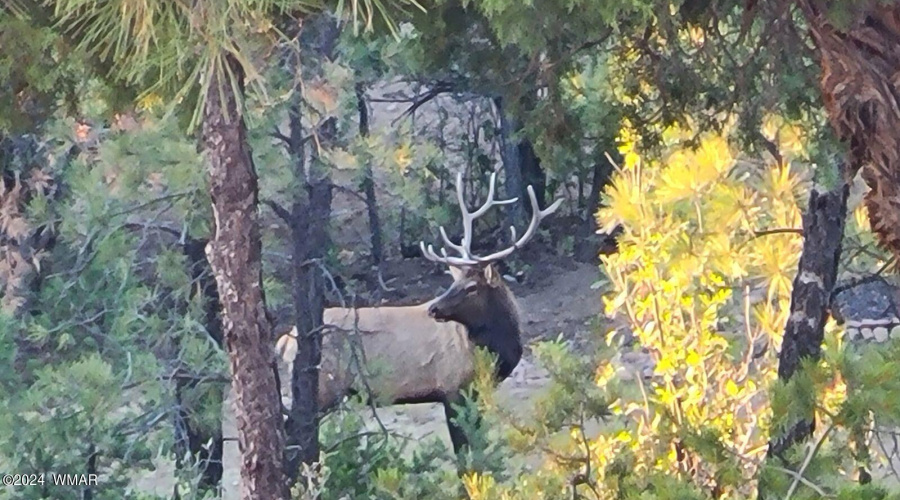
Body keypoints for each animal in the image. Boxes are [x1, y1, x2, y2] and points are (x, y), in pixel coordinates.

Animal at [277, 171, 562, 457]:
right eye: (454, 282)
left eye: (471, 287)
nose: (433, 308)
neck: (495, 352)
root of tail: (286, 339)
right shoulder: (452, 386)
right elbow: (463, 451)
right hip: (324, 387)